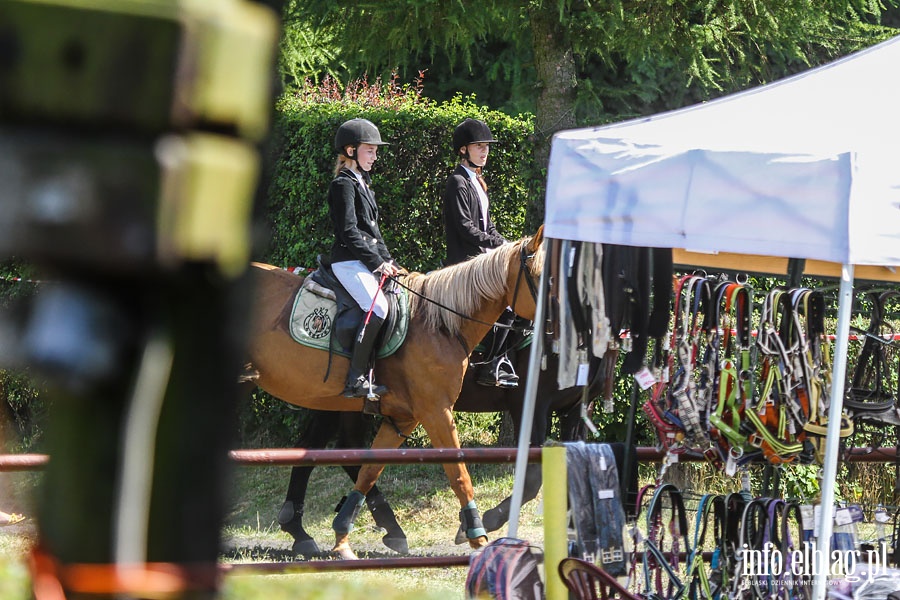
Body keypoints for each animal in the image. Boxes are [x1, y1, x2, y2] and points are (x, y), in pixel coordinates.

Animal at [243, 229, 544, 556]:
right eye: (540, 277)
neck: (440, 325)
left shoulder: (403, 418)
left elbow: (369, 470)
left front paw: (342, 538)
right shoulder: (436, 411)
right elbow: (459, 473)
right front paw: (477, 534)